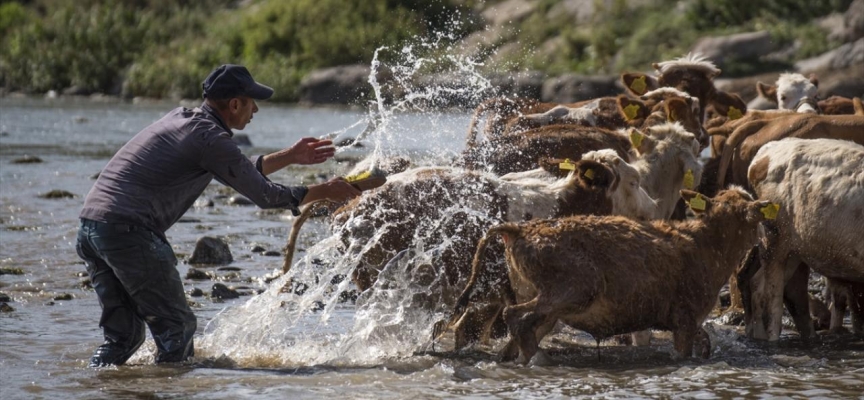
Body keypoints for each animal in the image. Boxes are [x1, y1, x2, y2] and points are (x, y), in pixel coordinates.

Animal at [442, 187, 772, 362]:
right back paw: (540, 359)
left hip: (541, 297)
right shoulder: (685, 318)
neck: (707, 245)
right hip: (574, 289)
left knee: (517, 334)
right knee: (515, 316)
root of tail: (520, 229)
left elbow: (706, 342)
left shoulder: (686, 320)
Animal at [744, 138, 864, 340]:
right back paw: (771, 339)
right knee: (771, 298)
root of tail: (767, 151)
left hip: (794, 250)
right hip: (774, 240)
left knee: (759, 286)